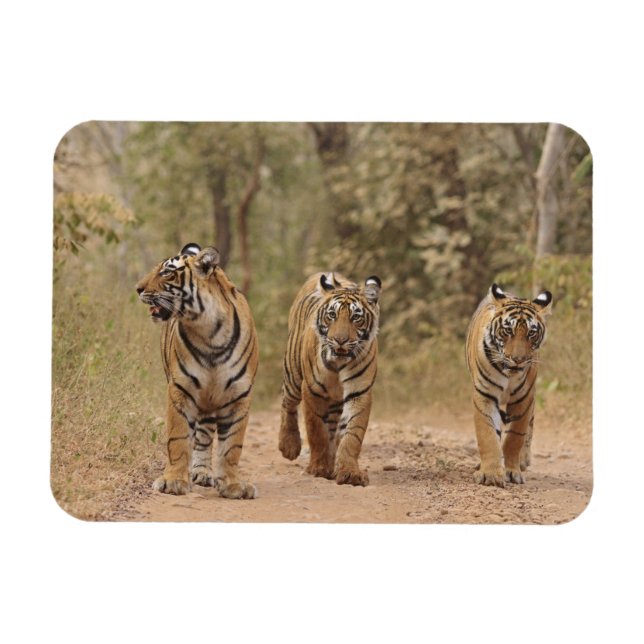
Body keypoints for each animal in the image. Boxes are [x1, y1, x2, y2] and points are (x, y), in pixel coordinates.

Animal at [136, 243, 258, 498]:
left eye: (166, 272)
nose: (137, 289)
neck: (209, 331)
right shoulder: (181, 389)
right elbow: (179, 437)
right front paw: (173, 481)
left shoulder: (239, 395)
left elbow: (232, 446)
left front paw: (233, 484)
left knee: (204, 437)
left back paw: (202, 472)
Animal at [278, 271, 382, 487]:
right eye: (332, 315)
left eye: (356, 317)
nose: (340, 340)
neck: (338, 365)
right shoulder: (311, 391)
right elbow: (316, 431)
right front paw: (319, 468)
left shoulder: (359, 393)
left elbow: (351, 435)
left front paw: (349, 473)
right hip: (293, 374)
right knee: (287, 403)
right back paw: (289, 445)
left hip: (334, 402)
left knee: (334, 430)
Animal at [465, 283, 553, 487]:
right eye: (508, 331)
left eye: (531, 333)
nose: (518, 359)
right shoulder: (485, 395)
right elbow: (488, 434)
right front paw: (490, 474)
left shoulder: (524, 398)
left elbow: (515, 437)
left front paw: (512, 472)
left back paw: (523, 461)